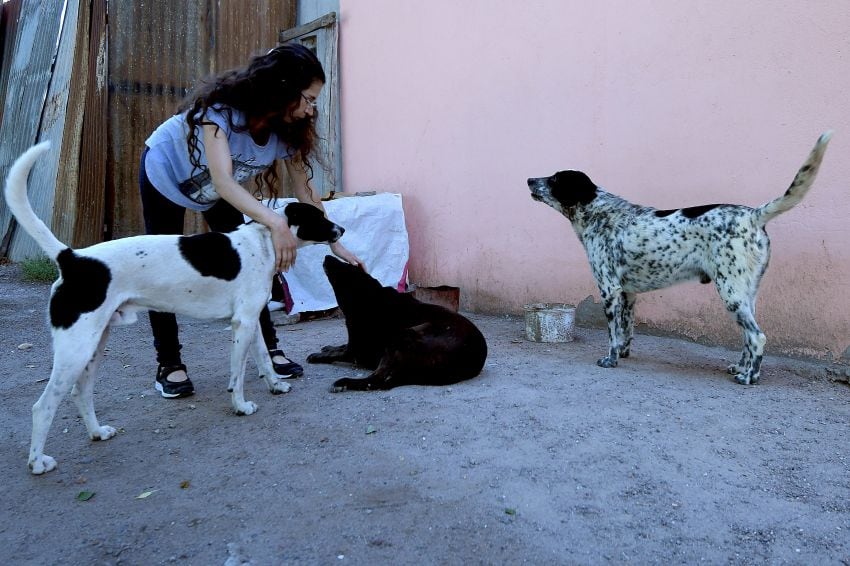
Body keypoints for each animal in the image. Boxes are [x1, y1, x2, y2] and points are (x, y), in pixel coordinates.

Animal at [6, 143, 344, 474]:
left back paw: (97, 432)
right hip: (74, 350)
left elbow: (263, 359)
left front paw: (275, 385)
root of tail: (72, 259)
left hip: (93, 345)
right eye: (318, 218)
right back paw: (38, 462)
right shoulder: (243, 324)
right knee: (43, 406)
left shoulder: (250, 323)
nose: (340, 230)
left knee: (80, 393)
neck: (265, 241)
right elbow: (237, 374)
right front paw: (240, 406)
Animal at [308, 256, 486, 392]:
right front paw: (328, 348)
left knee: (376, 381)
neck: (367, 298)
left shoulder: (355, 351)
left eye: (347, 267)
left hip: (402, 336)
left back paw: (344, 382)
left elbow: (337, 353)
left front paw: (319, 355)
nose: (327, 256)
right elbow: (338, 347)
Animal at [528, 132, 832, 386]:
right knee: (748, 337)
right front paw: (624, 353)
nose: (529, 179)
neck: (599, 213)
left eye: (555, 179)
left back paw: (750, 377)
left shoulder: (610, 289)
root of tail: (753, 215)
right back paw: (740, 367)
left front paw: (610, 360)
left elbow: (613, 332)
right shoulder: (628, 294)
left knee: (757, 336)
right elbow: (626, 330)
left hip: (731, 293)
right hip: (746, 295)